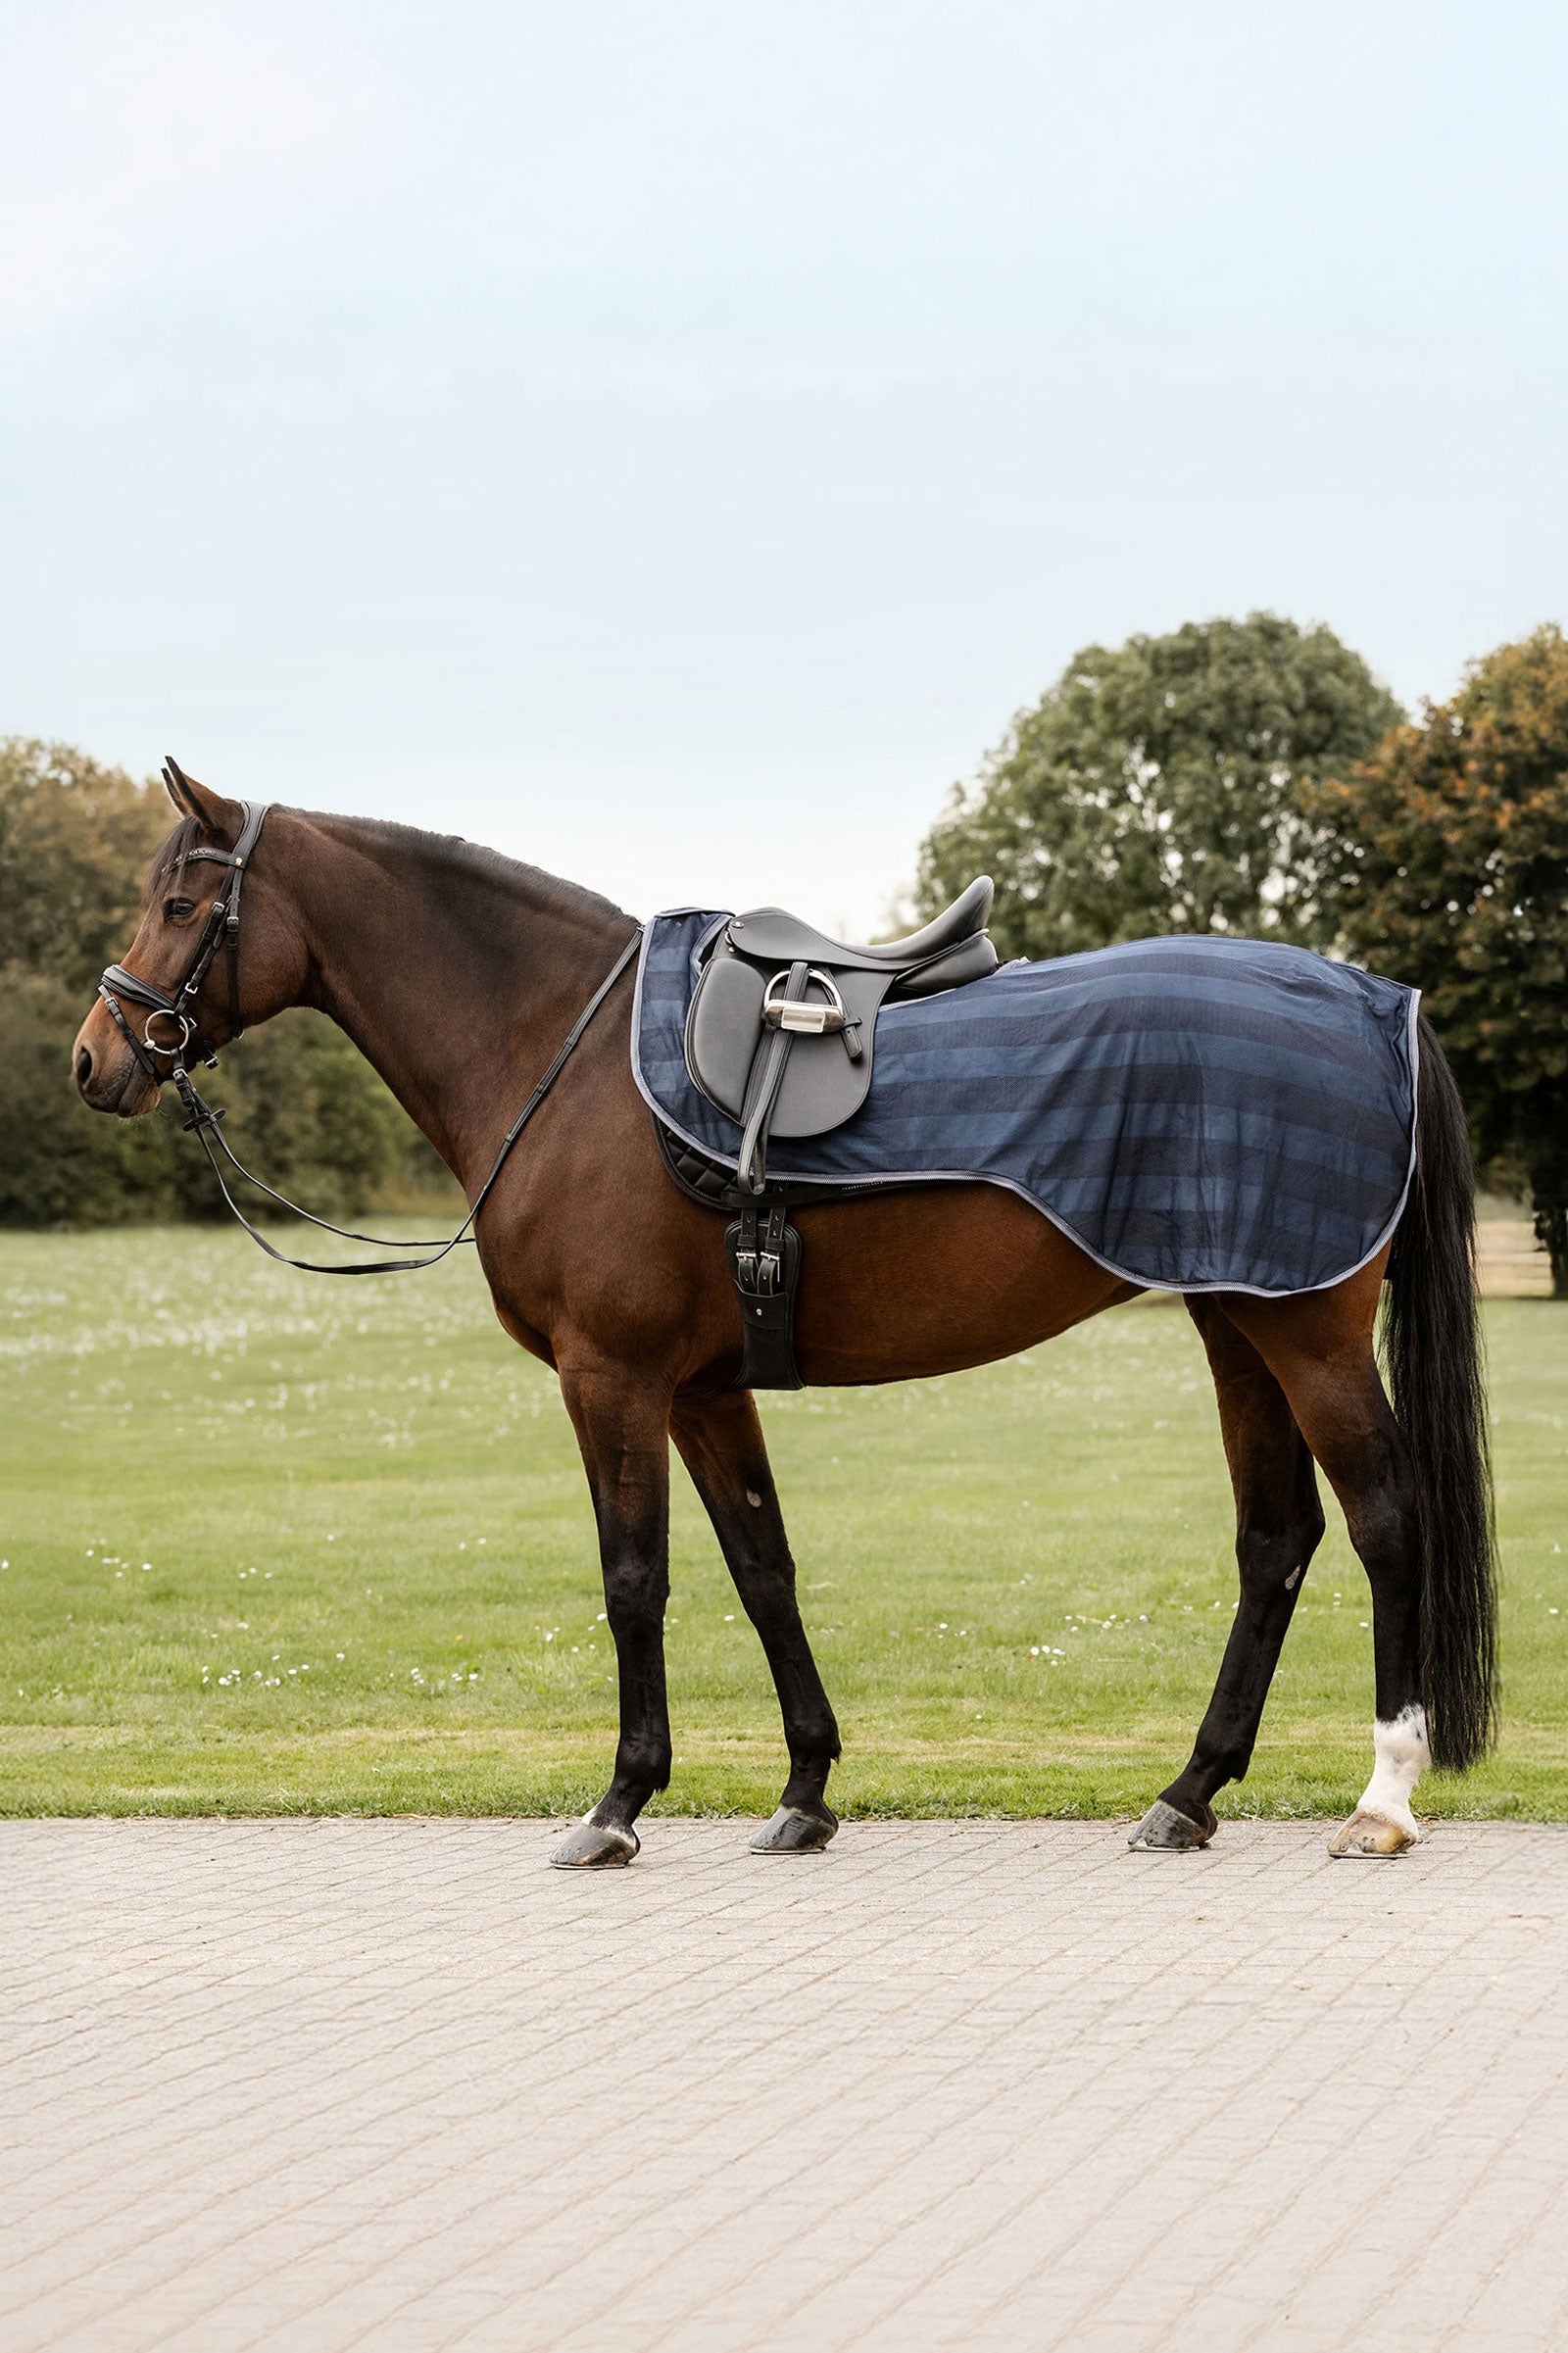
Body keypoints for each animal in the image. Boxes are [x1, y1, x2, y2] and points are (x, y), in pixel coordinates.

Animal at [72, 768, 1497, 1867]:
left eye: (184, 904)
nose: (97, 1058)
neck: (561, 1052)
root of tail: (1376, 1001)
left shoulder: (612, 1376)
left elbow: (634, 1579)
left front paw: (618, 1802)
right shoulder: (704, 1387)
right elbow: (764, 1567)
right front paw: (805, 1790)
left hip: (1307, 1333)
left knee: (1384, 1520)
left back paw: (1381, 1798)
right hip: (1234, 1323)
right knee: (1276, 1540)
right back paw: (1187, 1793)